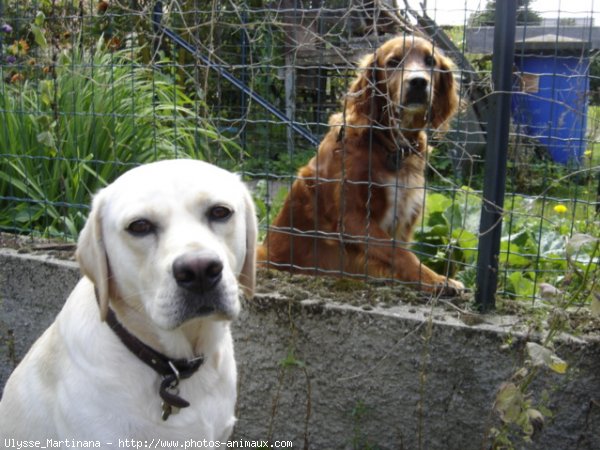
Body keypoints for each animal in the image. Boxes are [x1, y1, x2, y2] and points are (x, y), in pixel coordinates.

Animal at [258, 35, 464, 296]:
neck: (389, 145)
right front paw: (435, 279)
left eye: (430, 61)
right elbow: (400, 253)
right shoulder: (353, 218)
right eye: (394, 62)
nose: (418, 82)